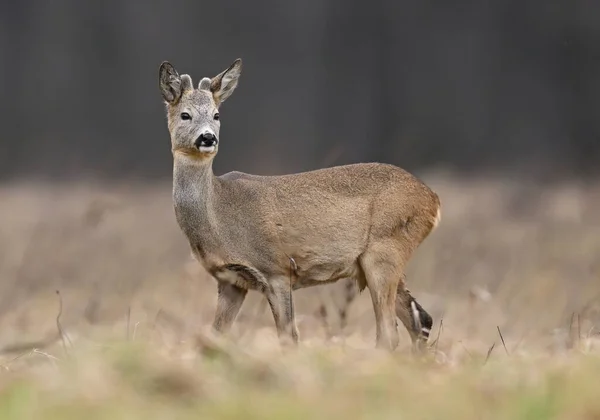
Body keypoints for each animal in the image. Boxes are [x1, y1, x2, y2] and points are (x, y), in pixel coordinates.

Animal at [159, 57, 440, 350]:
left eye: (216, 115)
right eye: (185, 115)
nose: (208, 138)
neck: (219, 213)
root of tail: (432, 199)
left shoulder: (277, 269)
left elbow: (289, 337)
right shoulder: (231, 281)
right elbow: (215, 336)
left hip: (385, 249)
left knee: (388, 332)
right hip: (376, 262)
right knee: (422, 319)